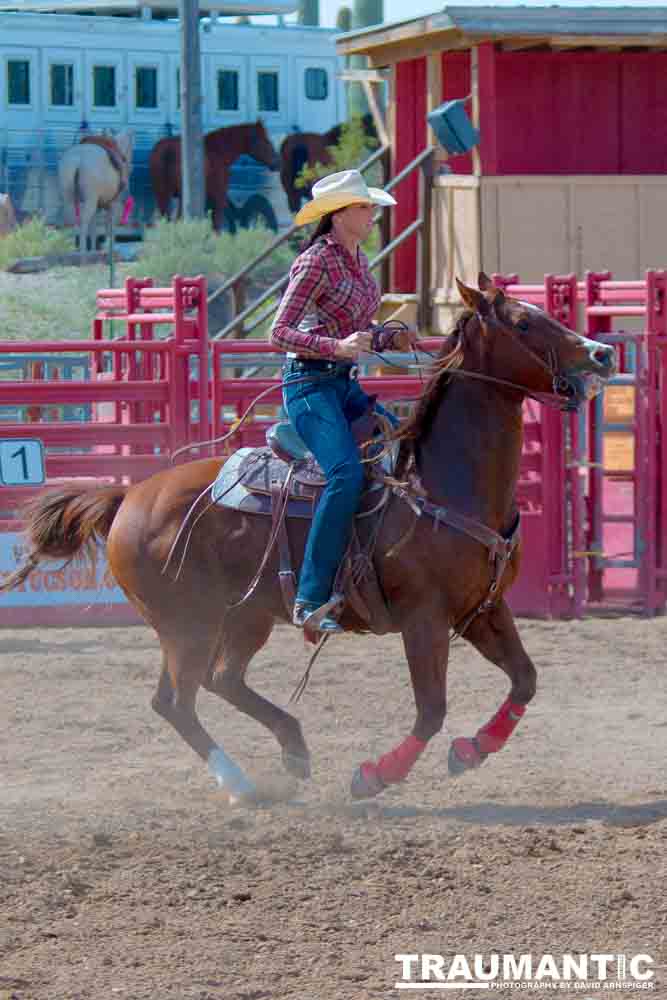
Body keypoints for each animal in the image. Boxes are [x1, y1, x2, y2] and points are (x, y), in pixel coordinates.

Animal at [2, 274, 616, 804]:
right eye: (524, 321)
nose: (603, 354)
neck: (443, 482)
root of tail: (128, 498)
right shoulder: (424, 618)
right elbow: (431, 709)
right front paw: (375, 775)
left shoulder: (482, 610)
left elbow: (525, 680)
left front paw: (472, 750)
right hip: (185, 623)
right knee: (177, 701)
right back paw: (243, 784)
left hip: (241, 616)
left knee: (218, 682)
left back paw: (293, 750)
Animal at [149, 120, 280, 229]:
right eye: (265, 141)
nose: (277, 163)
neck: (217, 152)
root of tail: (165, 150)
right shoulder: (219, 195)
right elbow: (216, 225)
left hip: (162, 194)